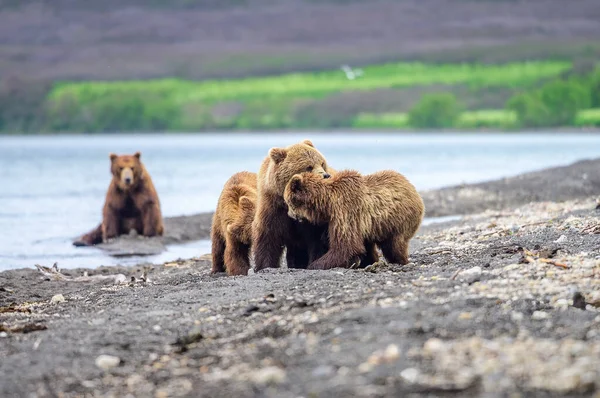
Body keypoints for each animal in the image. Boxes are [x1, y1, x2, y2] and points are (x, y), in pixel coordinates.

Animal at [252, 138, 336, 272]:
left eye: (322, 163)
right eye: (308, 167)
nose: (326, 175)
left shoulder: (313, 218)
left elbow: (317, 240)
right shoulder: (273, 208)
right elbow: (268, 237)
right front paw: (264, 266)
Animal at [284, 169, 424, 268]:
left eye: (288, 202)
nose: (290, 215)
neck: (326, 202)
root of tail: (413, 189)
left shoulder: (345, 210)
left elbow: (346, 246)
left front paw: (314, 265)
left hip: (399, 219)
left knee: (394, 245)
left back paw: (399, 260)